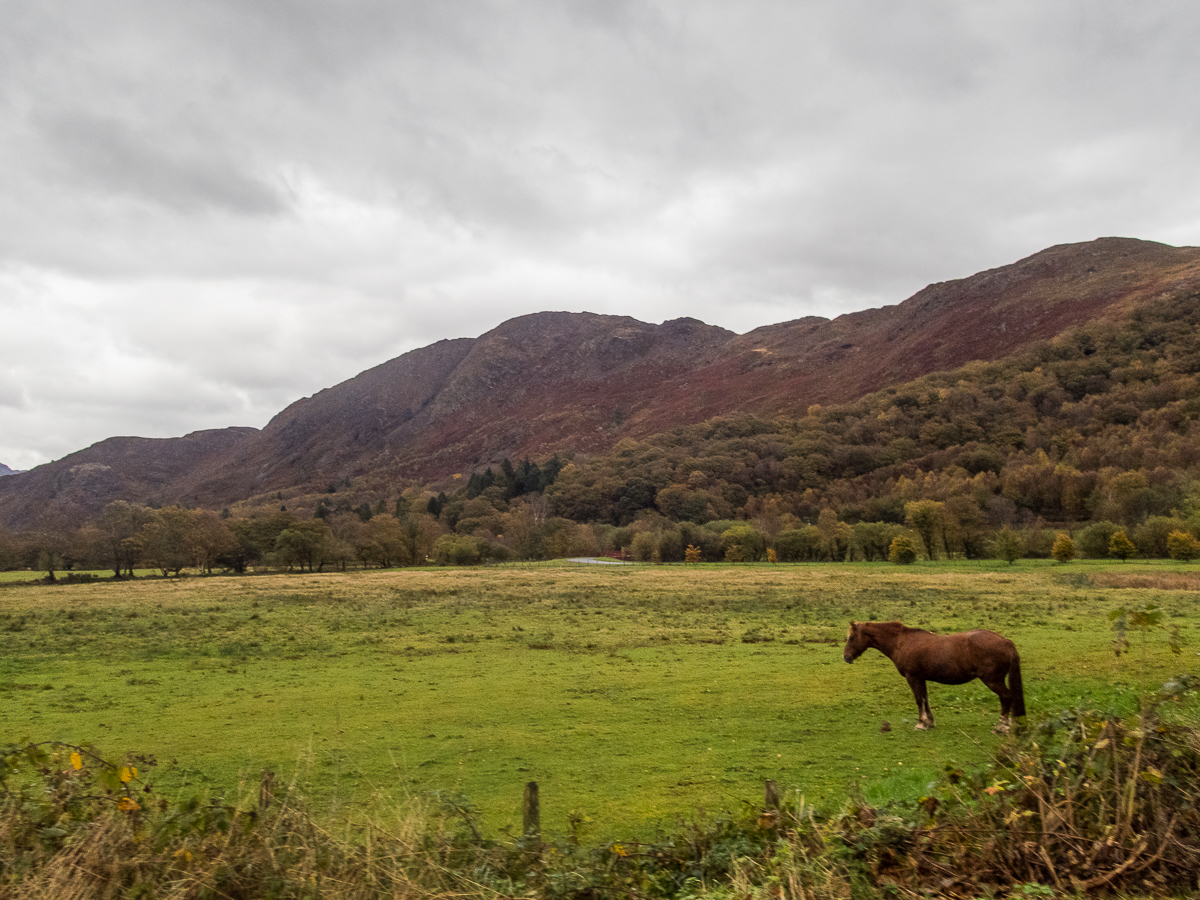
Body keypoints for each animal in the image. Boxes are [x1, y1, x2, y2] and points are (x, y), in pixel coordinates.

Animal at [840, 624, 1027, 734]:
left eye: (851, 637)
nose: (846, 657)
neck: (902, 642)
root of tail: (1006, 642)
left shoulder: (913, 678)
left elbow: (919, 700)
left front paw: (921, 724)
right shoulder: (921, 678)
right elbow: (925, 699)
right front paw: (929, 722)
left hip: (992, 681)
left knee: (1006, 697)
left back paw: (1002, 726)